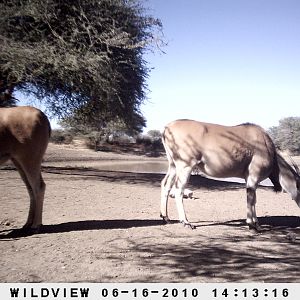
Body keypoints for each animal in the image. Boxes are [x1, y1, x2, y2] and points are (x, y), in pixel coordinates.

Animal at [161, 119, 300, 230]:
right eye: (299, 186)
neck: (266, 145)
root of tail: (167, 128)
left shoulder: (249, 179)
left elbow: (254, 199)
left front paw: (256, 222)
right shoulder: (253, 178)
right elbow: (251, 199)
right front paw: (252, 224)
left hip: (173, 166)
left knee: (166, 184)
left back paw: (165, 217)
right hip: (185, 166)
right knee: (178, 190)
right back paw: (185, 222)